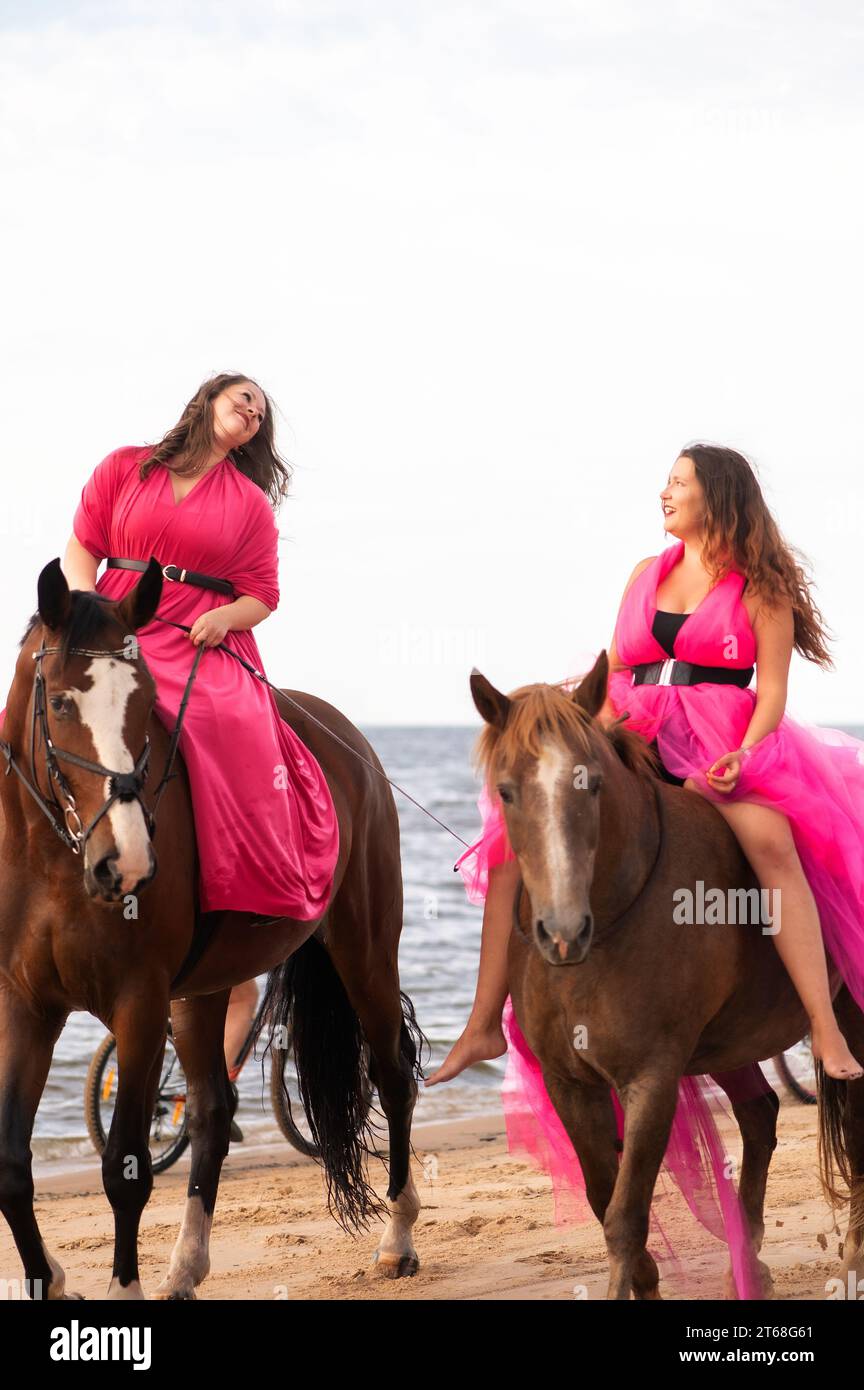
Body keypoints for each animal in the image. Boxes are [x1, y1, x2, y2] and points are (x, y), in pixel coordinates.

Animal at [0, 558, 427, 1295]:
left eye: (145, 704)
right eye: (60, 703)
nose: (126, 862)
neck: (54, 857)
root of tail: (351, 742)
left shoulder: (138, 1006)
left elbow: (126, 1166)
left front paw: (122, 1285)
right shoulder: (26, 1004)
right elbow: (9, 1164)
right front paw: (48, 1278)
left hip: (365, 951)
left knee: (393, 1074)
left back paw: (397, 1239)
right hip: (201, 991)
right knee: (210, 1109)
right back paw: (184, 1268)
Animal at [475, 656, 864, 1295]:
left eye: (594, 784)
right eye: (505, 792)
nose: (562, 932)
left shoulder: (651, 1078)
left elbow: (626, 1215)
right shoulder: (569, 1082)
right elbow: (603, 1197)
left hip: (848, 1018)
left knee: (852, 1121)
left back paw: (851, 1258)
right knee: (760, 1115)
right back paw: (749, 1266)